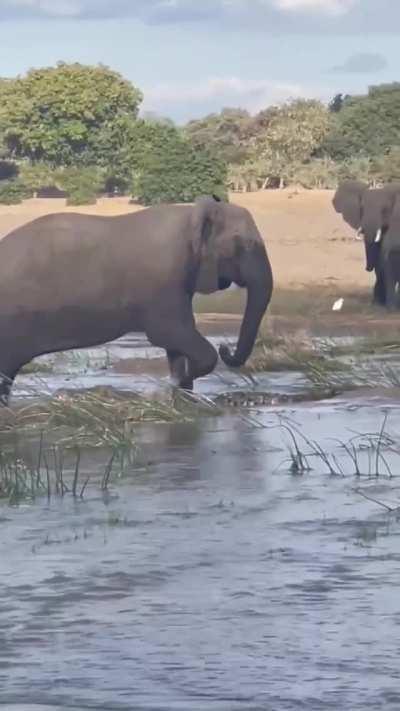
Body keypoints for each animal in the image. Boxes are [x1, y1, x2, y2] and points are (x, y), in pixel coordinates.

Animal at [0, 196, 273, 404]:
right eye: (242, 245)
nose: (226, 347)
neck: (191, 214)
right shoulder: (162, 281)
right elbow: (170, 333)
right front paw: (176, 384)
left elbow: (175, 343)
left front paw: (179, 392)